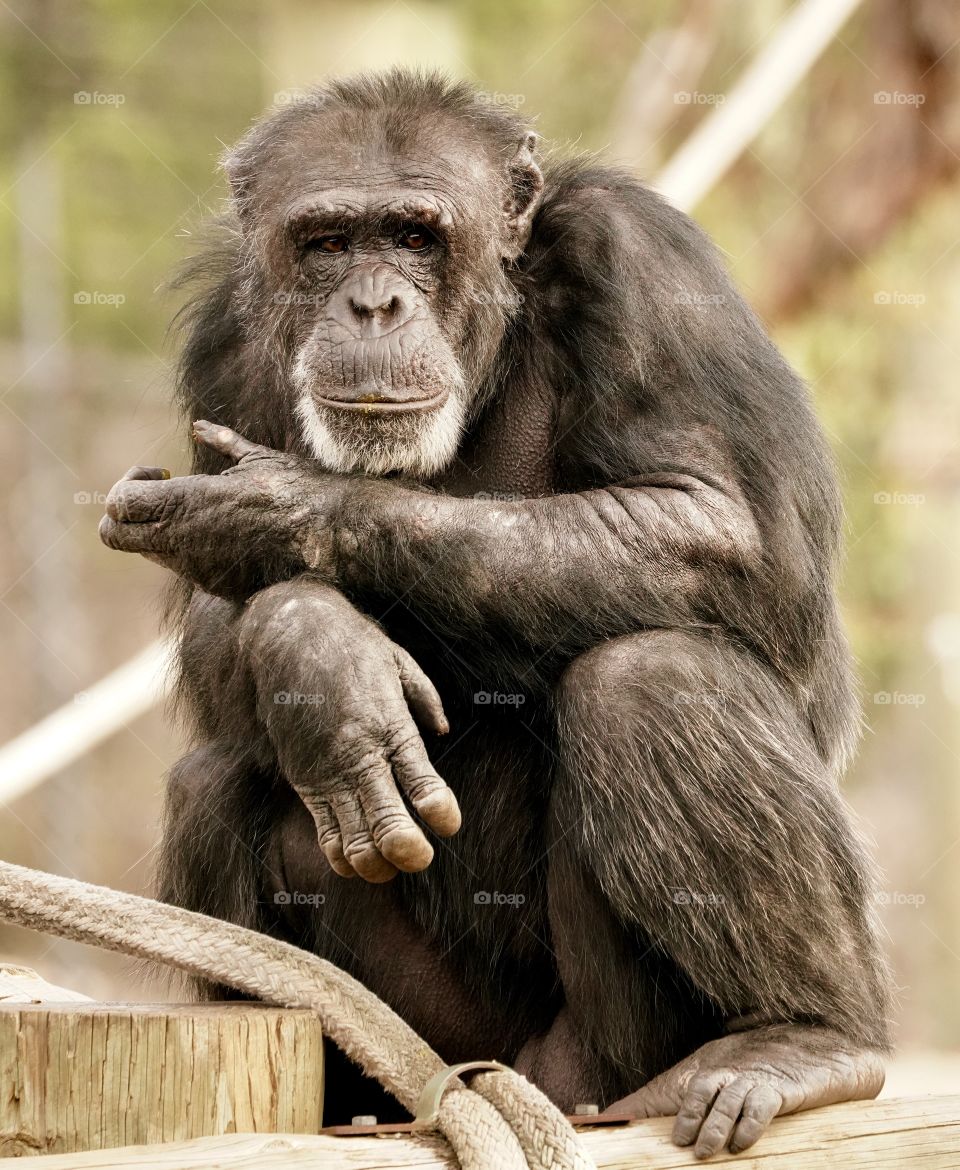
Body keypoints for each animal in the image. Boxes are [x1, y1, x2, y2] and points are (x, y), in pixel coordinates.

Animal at [101, 75, 888, 1160]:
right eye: (328, 242)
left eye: (416, 236)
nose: (373, 301)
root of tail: (500, 1071)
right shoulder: (225, 340)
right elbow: (225, 639)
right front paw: (316, 650)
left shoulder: (641, 260)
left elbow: (728, 528)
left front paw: (278, 511)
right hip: (430, 1037)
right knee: (213, 779)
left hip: (600, 1059)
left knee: (653, 681)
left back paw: (805, 1038)